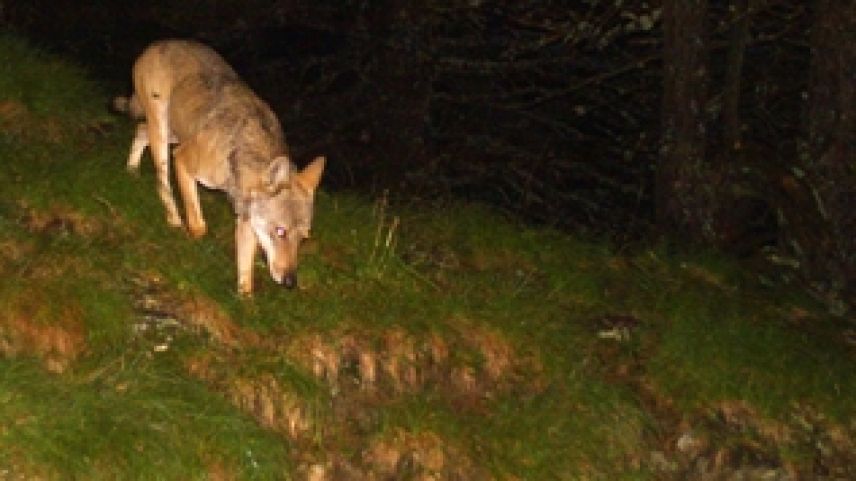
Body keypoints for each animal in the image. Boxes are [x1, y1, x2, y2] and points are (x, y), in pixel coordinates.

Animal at [117, 40, 324, 296]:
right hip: (166, 137)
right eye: (280, 231)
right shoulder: (182, 161)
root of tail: (158, 43)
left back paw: (131, 170)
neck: (237, 154)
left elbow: (246, 276)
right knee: (162, 180)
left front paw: (244, 301)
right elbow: (199, 224)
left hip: (175, 134)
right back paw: (173, 219)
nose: (290, 282)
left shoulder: (247, 218)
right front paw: (193, 241)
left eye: (303, 238)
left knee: (140, 130)